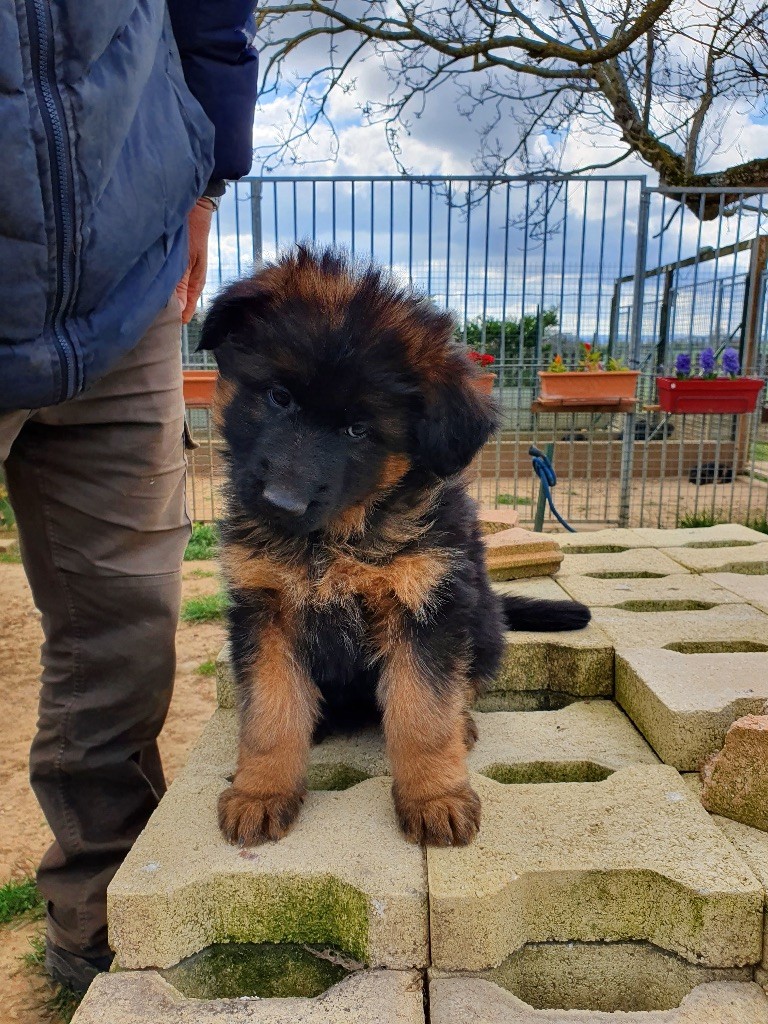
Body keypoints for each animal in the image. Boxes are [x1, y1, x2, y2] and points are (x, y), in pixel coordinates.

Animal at [198, 245, 589, 847]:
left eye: (358, 430)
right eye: (279, 397)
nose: (281, 504)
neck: (332, 542)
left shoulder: (425, 607)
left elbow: (421, 715)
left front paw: (434, 797)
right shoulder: (264, 610)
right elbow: (270, 714)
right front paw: (259, 792)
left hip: (478, 620)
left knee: (462, 687)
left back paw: (463, 724)